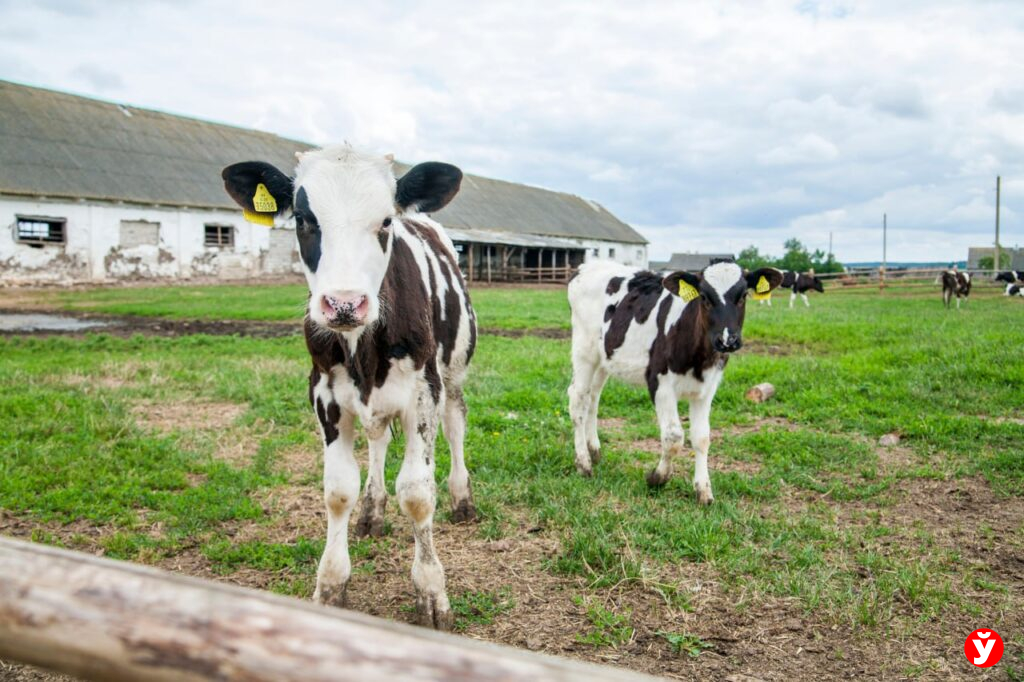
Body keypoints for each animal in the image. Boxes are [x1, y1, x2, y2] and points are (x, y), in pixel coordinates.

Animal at [221, 146, 475, 630]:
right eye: (304, 218)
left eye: (386, 221)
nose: (343, 303)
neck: (363, 348)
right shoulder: (324, 394)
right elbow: (339, 491)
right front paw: (331, 584)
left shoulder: (424, 391)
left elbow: (417, 494)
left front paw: (432, 591)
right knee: (377, 443)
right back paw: (373, 511)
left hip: (453, 373)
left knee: (456, 426)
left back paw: (462, 497)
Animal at [569, 258, 782, 501]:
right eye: (704, 297)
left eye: (743, 296)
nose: (727, 340)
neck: (699, 360)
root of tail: (589, 264)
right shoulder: (659, 383)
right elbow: (673, 437)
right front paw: (658, 477)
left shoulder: (707, 388)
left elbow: (702, 437)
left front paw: (703, 490)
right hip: (584, 351)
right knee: (578, 400)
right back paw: (584, 463)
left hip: (605, 357)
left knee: (593, 398)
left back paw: (594, 450)